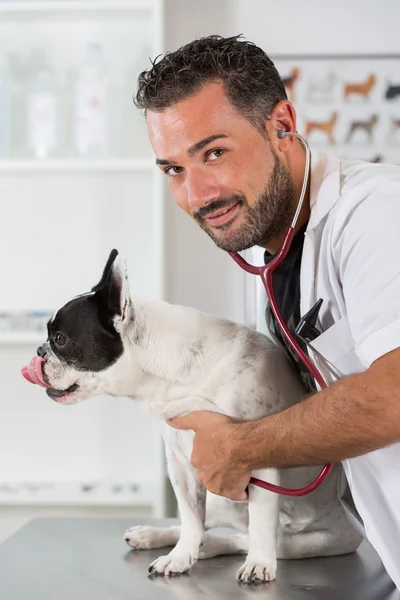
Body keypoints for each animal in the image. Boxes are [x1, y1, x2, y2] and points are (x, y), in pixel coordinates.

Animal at [21, 247, 362, 580]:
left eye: (61, 339)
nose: (39, 351)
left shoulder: (258, 458)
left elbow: (262, 521)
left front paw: (259, 563)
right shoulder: (181, 466)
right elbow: (189, 517)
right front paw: (180, 556)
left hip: (316, 541)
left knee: (256, 538)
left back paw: (218, 547)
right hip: (222, 501)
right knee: (211, 526)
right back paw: (156, 535)